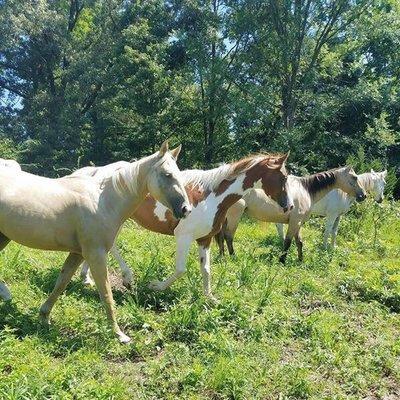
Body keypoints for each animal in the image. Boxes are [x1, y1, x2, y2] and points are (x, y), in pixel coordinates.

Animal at [0, 142, 191, 342]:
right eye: (167, 174)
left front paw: (44, 317)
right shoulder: (95, 254)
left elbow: (61, 283)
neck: (103, 202)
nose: (186, 209)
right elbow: (106, 293)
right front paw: (118, 334)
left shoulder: (77, 253)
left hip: (3, 237)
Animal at [79, 153, 292, 300]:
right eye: (283, 177)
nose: (289, 205)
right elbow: (181, 269)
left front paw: (209, 298)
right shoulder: (184, 237)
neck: (211, 197)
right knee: (110, 245)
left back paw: (87, 278)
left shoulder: (204, 239)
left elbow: (206, 269)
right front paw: (155, 286)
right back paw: (126, 278)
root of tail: (98, 172)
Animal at [216, 166, 366, 262]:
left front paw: (300, 260)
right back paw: (233, 257)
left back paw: (222, 256)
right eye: (354, 177)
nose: (363, 195)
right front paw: (282, 260)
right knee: (228, 236)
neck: (306, 190)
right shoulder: (295, 221)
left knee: (220, 236)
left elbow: (299, 242)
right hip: (235, 215)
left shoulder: (298, 222)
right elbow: (288, 242)